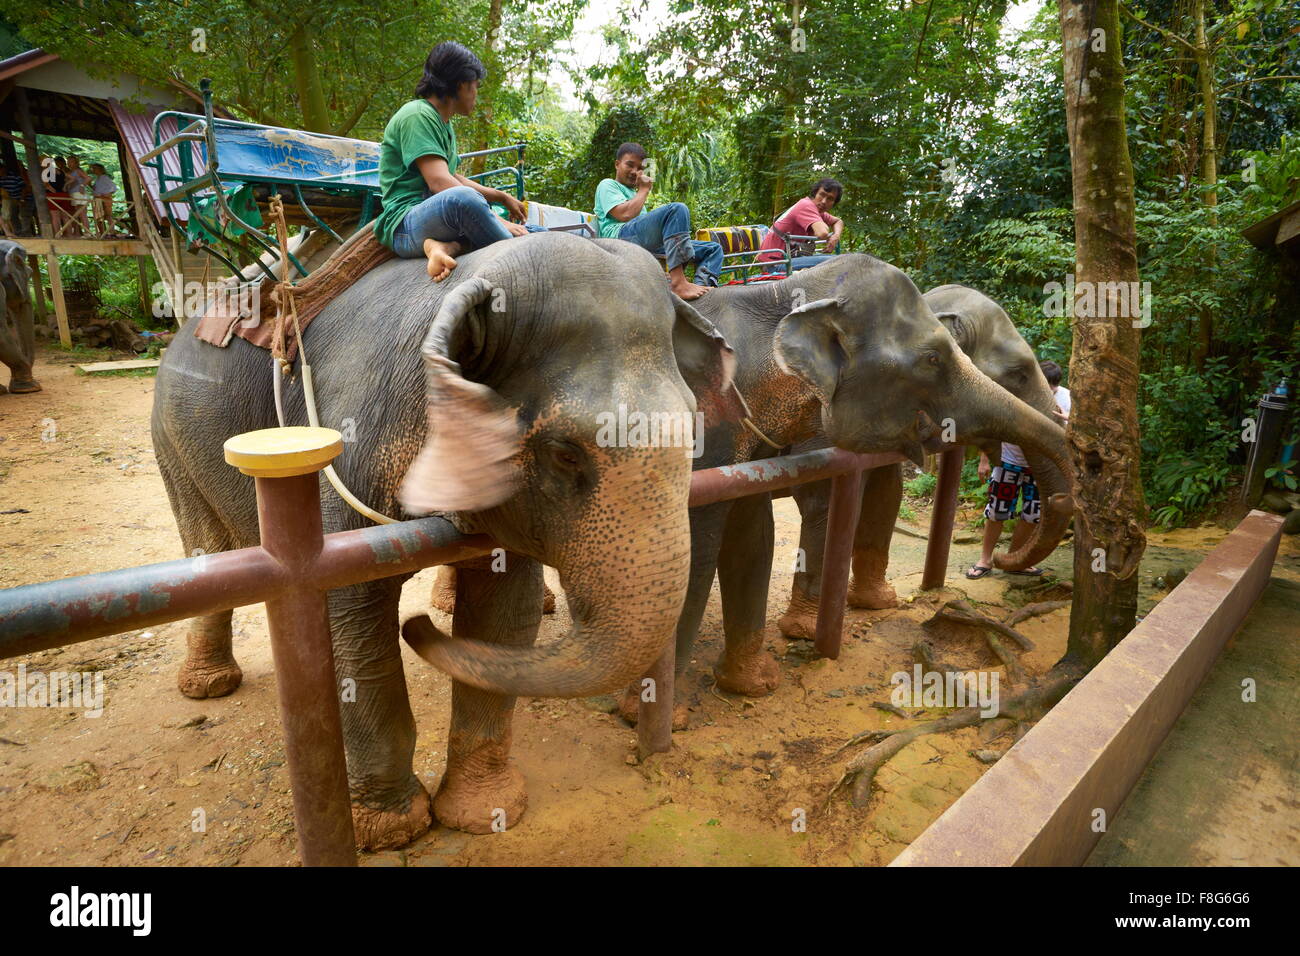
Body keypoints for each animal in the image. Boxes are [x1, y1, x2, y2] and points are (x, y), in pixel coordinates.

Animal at [149, 234, 743, 853]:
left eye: (692, 430)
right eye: (564, 453)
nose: (417, 628)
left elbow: (506, 611)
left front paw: (485, 814)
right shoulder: (349, 436)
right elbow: (348, 612)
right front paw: (389, 831)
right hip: (172, 441)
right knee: (202, 547)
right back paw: (208, 687)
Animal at [780, 283, 1066, 639]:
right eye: (1019, 374)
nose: (1000, 558)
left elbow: (888, 489)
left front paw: (878, 602)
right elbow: (826, 499)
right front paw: (802, 631)